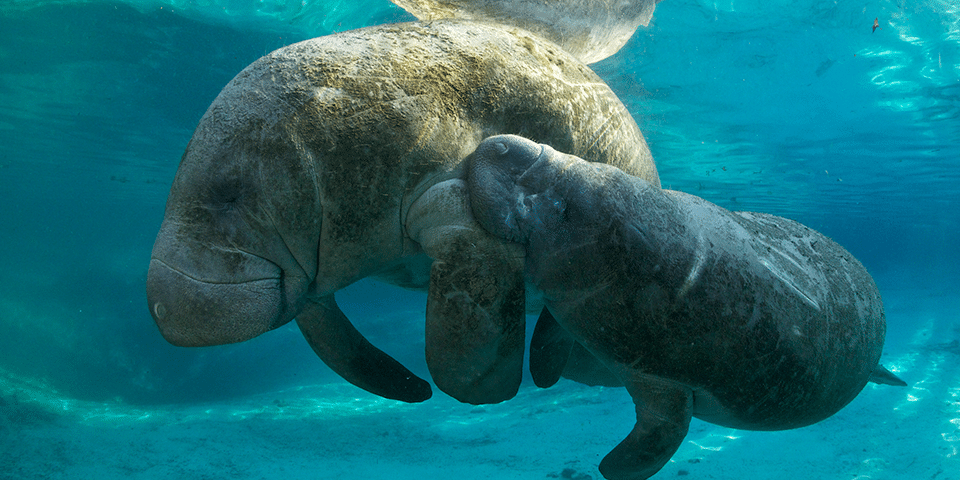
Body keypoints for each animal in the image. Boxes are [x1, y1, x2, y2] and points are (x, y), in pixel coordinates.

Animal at [146, 20, 660, 406]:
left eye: (230, 195)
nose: (162, 308)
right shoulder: (309, 266)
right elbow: (333, 339)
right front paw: (411, 390)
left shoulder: (455, 200)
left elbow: (468, 318)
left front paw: (479, 391)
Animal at [468, 135, 904, 480]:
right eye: (598, 164)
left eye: (563, 210)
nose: (503, 144)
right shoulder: (568, 305)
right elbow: (547, 338)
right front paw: (543, 375)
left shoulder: (664, 378)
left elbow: (659, 438)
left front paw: (610, 468)